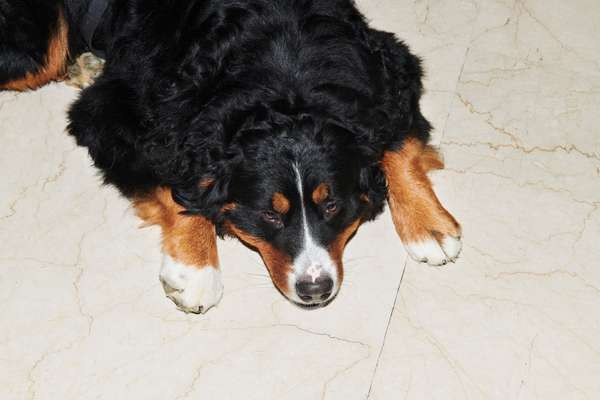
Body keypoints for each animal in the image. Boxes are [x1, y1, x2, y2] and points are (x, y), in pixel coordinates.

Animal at [0, 0, 462, 312]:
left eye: (332, 205)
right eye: (269, 215)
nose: (315, 290)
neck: (285, 81)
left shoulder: (390, 68)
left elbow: (398, 144)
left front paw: (428, 225)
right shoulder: (109, 112)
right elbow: (178, 187)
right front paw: (196, 270)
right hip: (39, 47)